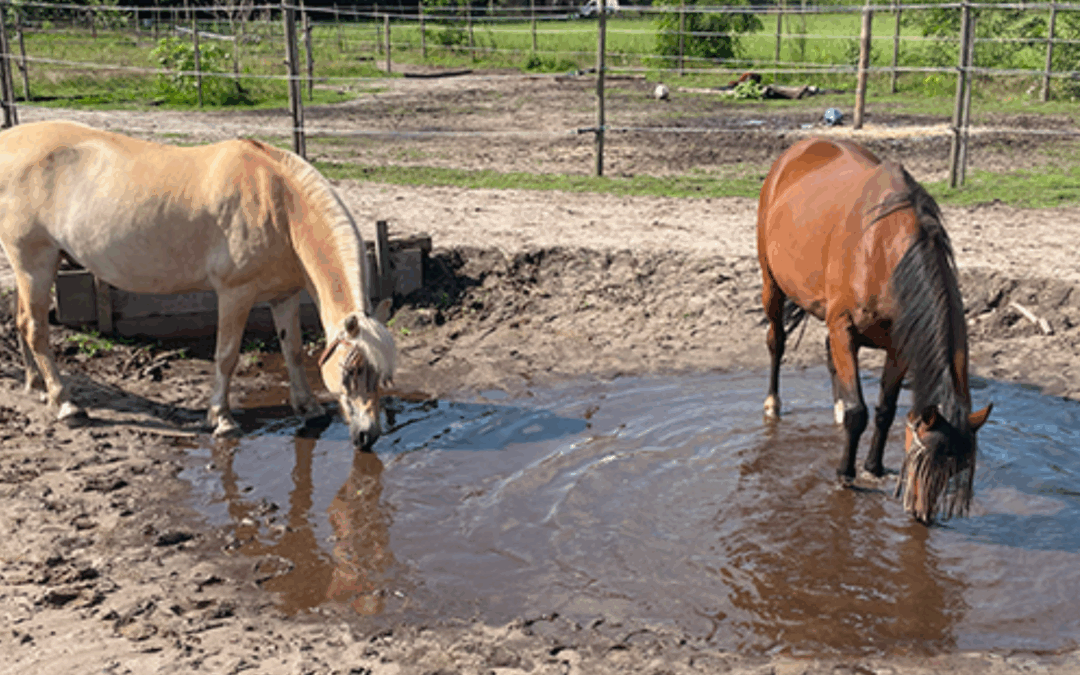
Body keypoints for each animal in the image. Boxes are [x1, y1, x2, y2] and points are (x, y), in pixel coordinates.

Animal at [0, 120, 396, 448]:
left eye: (380, 375)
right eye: (351, 371)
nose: (368, 436)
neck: (279, 203)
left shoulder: (283, 296)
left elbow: (293, 351)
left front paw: (308, 407)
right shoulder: (235, 294)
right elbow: (226, 356)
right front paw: (221, 419)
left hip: (30, 268)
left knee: (20, 320)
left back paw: (37, 387)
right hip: (35, 265)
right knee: (36, 329)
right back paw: (66, 404)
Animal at [756, 137, 992, 524]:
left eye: (955, 470)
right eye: (919, 461)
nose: (922, 516)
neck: (883, 249)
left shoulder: (899, 346)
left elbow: (884, 410)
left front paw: (874, 466)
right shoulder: (845, 327)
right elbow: (860, 413)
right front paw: (845, 474)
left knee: (829, 353)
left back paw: (836, 405)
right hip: (771, 283)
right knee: (776, 341)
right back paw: (773, 403)